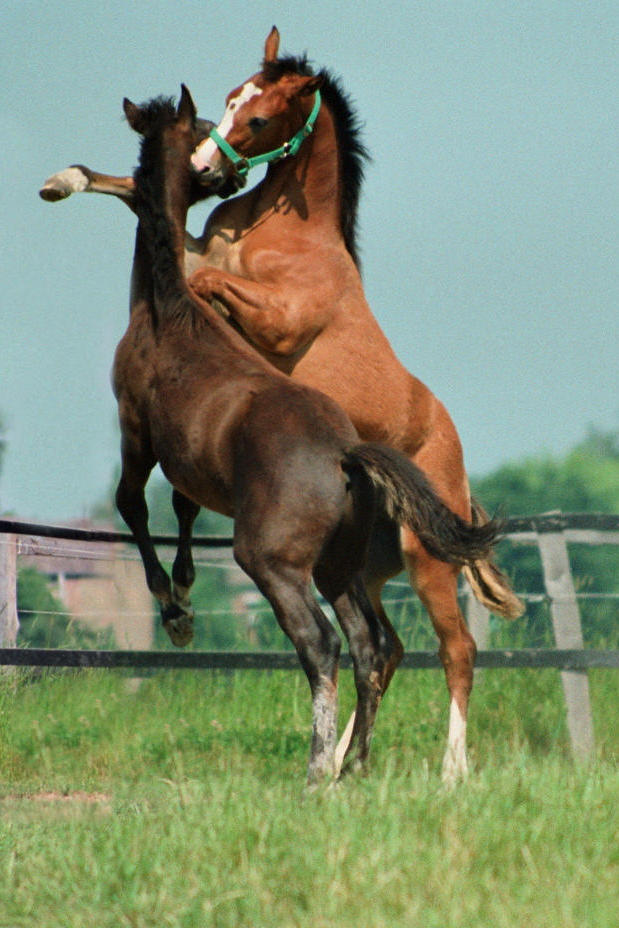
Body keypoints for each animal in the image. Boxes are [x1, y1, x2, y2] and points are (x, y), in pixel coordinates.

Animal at [40, 29, 524, 780]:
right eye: (229, 97)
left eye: (261, 116)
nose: (215, 169)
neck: (283, 235)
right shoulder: (197, 248)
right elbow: (141, 203)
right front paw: (65, 180)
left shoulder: (262, 327)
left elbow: (198, 280)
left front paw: (176, 606)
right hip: (361, 569)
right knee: (381, 649)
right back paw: (346, 758)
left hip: (419, 565)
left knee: (450, 651)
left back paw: (444, 770)